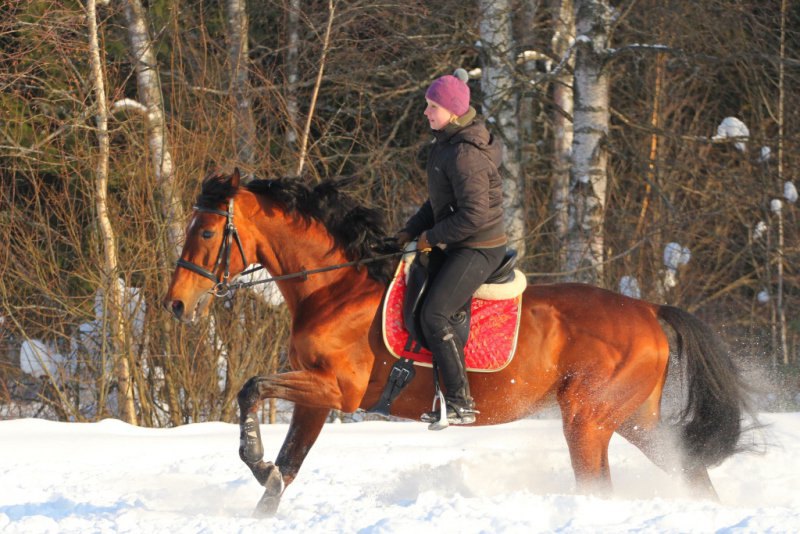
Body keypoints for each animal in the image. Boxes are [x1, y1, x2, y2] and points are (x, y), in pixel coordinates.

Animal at [161, 170, 752, 516]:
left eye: (207, 232)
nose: (176, 305)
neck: (336, 288)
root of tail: (649, 310)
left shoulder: (335, 392)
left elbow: (250, 388)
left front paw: (254, 457)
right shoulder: (314, 400)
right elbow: (285, 469)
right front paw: (266, 476)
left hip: (588, 419)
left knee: (600, 486)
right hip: (632, 421)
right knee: (692, 473)